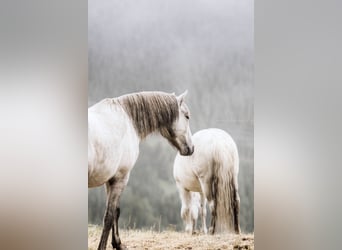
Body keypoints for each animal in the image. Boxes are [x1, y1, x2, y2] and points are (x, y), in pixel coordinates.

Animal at [88, 91, 194, 249]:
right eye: (187, 116)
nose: (192, 148)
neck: (128, 122)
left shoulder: (111, 180)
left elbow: (115, 211)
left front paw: (117, 243)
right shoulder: (121, 177)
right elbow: (109, 216)